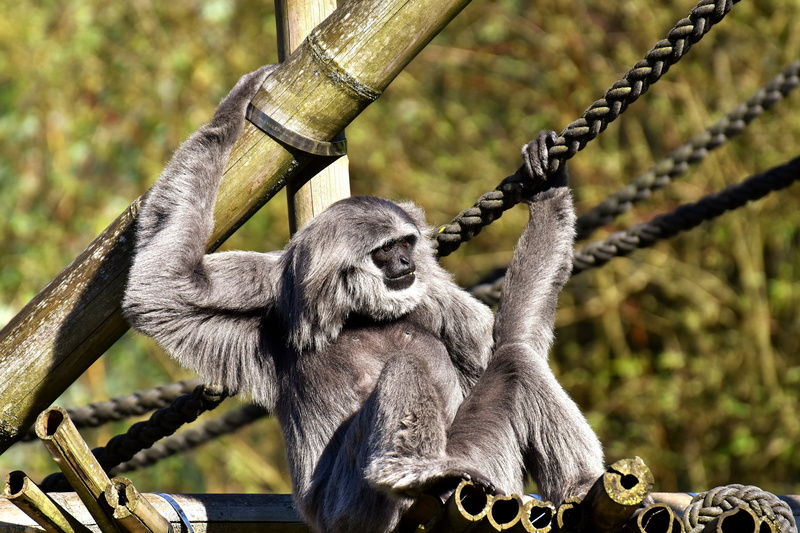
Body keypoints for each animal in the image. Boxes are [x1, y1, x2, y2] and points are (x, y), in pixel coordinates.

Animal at [122, 66, 605, 533]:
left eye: (407, 243)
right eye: (386, 250)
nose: (406, 262)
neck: (355, 314)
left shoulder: (430, 294)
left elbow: (516, 341)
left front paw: (547, 186)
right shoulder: (269, 292)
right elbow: (160, 291)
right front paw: (232, 111)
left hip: (478, 468)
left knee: (515, 359)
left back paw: (581, 490)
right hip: (353, 507)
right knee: (416, 368)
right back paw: (409, 470)